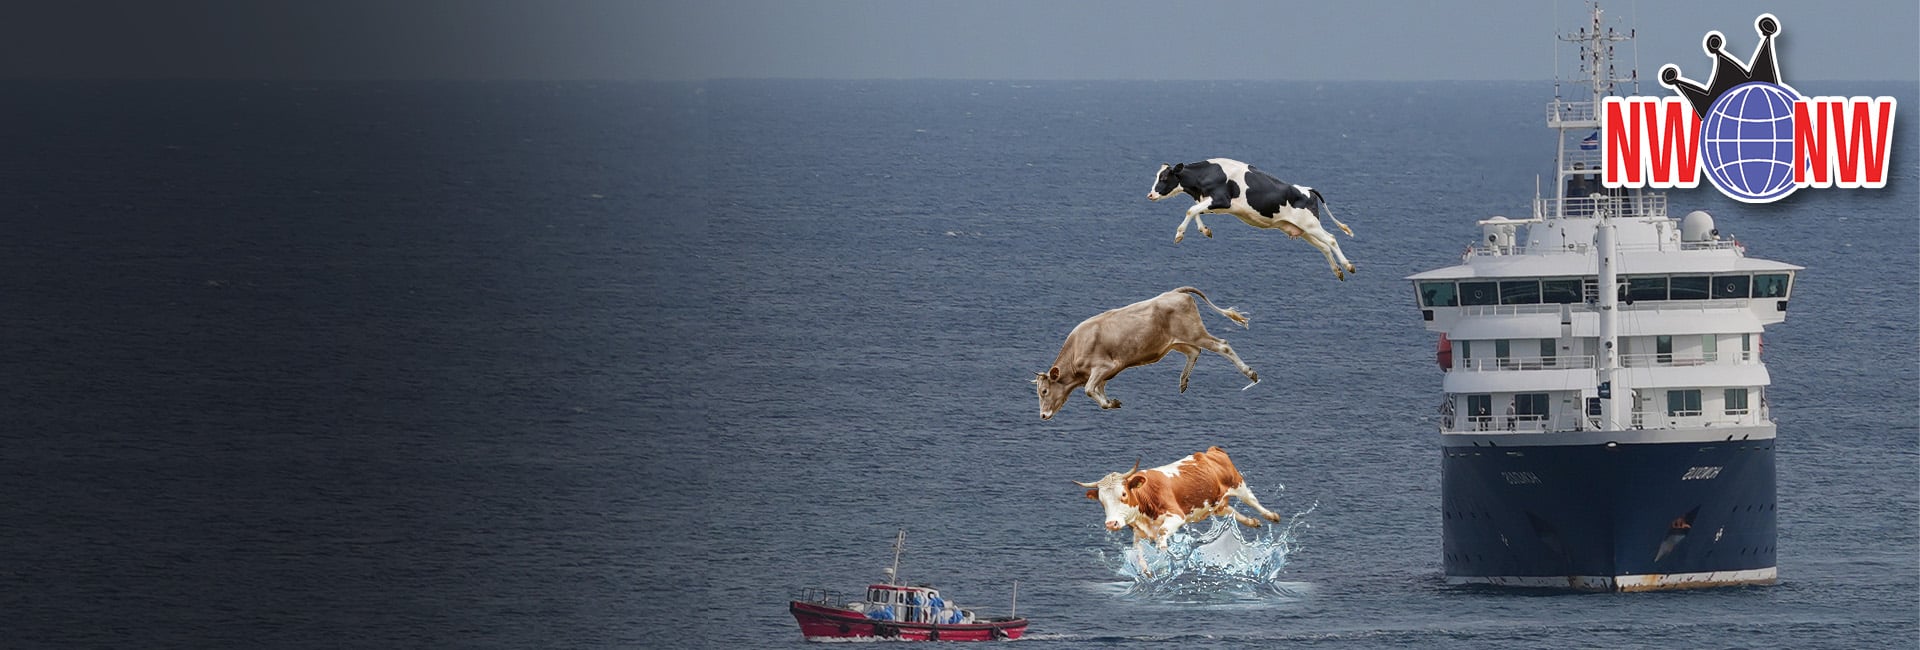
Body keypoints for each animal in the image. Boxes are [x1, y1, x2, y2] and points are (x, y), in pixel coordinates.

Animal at [1033, 287, 1257, 421]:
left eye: (1044, 391)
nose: (1042, 415)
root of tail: (1175, 292)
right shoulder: (1104, 373)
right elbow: (1098, 389)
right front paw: (1111, 402)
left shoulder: (1105, 366)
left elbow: (1089, 389)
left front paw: (1108, 402)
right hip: (1176, 342)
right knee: (1194, 352)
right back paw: (1183, 381)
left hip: (1194, 333)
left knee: (1223, 346)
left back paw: (1250, 373)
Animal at [1075, 446, 1283, 575]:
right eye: (1102, 501)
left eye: (1124, 493)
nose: (1111, 523)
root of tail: (1210, 451)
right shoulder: (1140, 531)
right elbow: (1138, 551)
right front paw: (1147, 571)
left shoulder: (1177, 516)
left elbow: (1163, 533)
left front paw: (1166, 553)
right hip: (1214, 504)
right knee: (1230, 510)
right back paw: (1252, 522)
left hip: (1238, 483)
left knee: (1253, 501)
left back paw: (1271, 516)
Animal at [1148, 158, 1358, 280]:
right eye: (1157, 176)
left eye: (1164, 178)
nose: (1150, 195)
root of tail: (1307, 189)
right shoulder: (1212, 202)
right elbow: (1195, 210)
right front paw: (1205, 230)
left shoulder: (1221, 200)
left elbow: (1190, 210)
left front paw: (1179, 235)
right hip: (1302, 229)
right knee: (1324, 246)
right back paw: (1337, 271)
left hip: (1311, 224)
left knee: (1331, 239)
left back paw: (1348, 266)